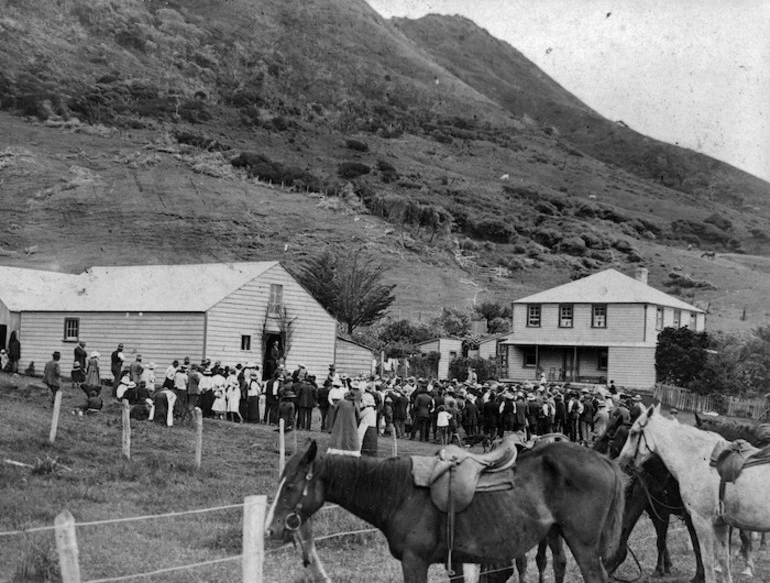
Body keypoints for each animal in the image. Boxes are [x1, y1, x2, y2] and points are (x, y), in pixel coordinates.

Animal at [264, 440, 624, 580]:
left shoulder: (414, 561)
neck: (399, 493)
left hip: (584, 546)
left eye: (291, 486)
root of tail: (604, 460)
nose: (271, 528)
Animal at [616, 406, 768, 583]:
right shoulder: (720, 523)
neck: (697, 459)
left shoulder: (700, 519)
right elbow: (723, 560)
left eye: (633, 433)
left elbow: (706, 558)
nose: (622, 462)